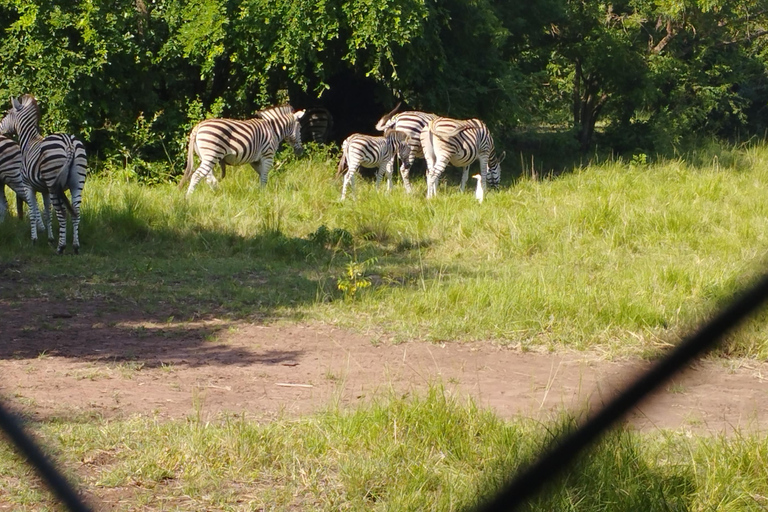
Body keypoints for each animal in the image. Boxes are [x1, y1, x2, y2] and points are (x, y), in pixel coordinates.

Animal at [0, 95, 87, 253]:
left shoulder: (28, 185)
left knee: (62, 212)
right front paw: (50, 239)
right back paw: (76, 246)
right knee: (76, 212)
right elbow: (47, 213)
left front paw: (34, 240)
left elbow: (33, 212)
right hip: (77, 183)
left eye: (8, 113)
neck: (29, 141)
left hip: (52, 184)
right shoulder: (45, 190)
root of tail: (69, 143)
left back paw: (61, 247)